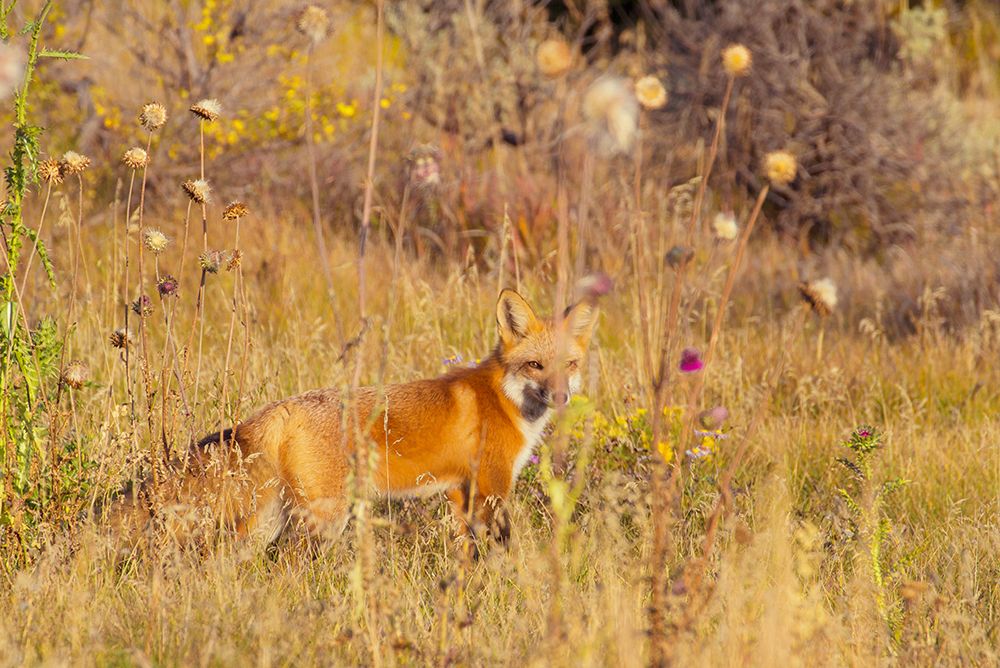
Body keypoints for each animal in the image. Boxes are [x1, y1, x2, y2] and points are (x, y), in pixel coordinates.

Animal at [107, 289, 597, 550]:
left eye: (570, 364)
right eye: (535, 365)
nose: (560, 396)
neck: (503, 399)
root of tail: (280, 407)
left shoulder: (462, 492)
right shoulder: (490, 489)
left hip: (270, 517)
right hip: (325, 518)